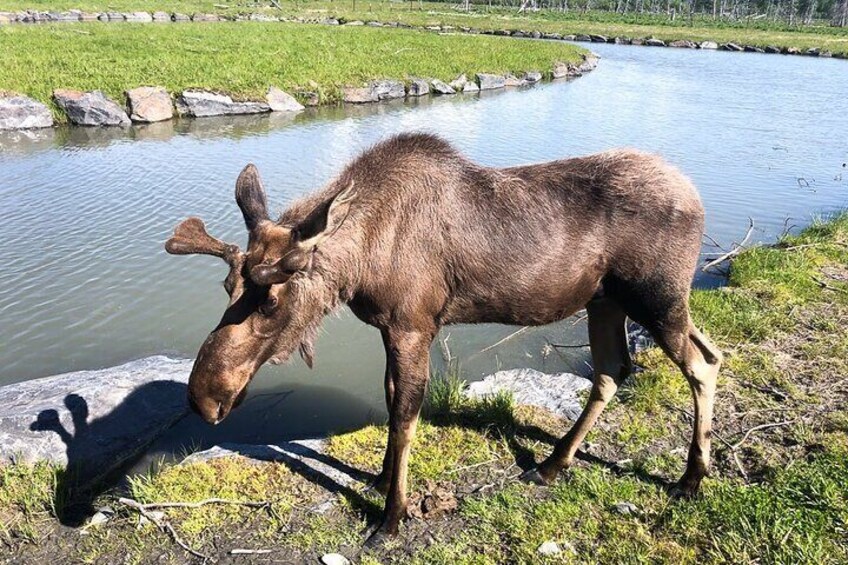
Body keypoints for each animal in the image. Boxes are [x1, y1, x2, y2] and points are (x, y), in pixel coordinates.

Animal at [166, 132, 724, 540]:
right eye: (228, 286)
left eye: (271, 300)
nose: (204, 396)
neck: (358, 265)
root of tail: (698, 197)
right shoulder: (391, 329)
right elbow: (390, 398)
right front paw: (380, 479)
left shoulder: (414, 325)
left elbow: (405, 417)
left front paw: (392, 517)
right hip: (609, 301)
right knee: (622, 368)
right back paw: (552, 464)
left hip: (658, 297)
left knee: (701, 363)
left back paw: (692, 478)